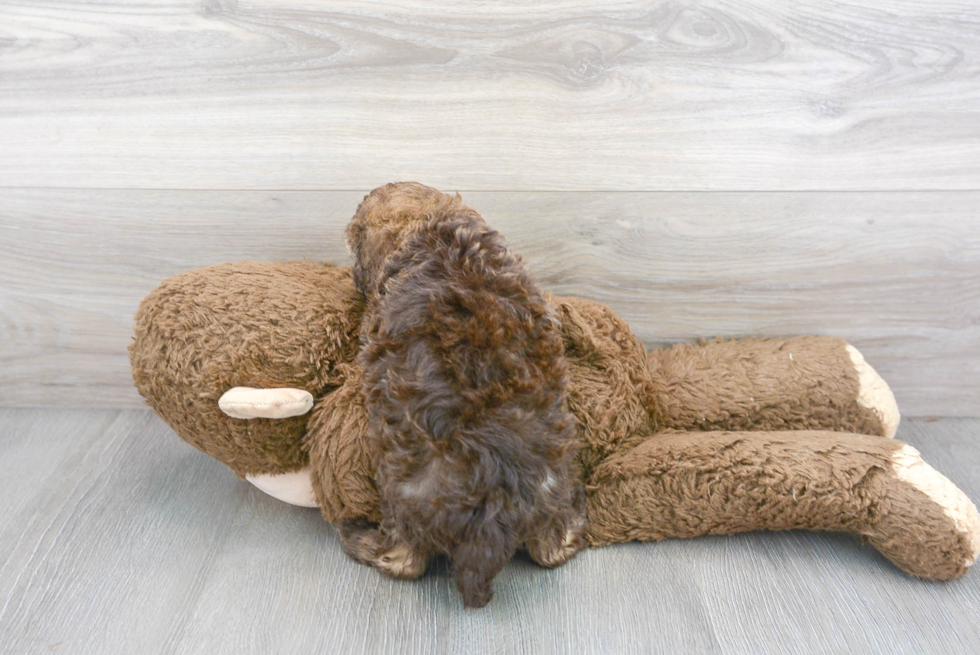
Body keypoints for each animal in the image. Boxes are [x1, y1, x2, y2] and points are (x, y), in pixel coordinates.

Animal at [342, 182, 588, 608]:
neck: (434, 228)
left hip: (401, 497)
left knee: (404, 560)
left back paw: (356, 536)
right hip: (552, 487)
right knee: (553, 549)